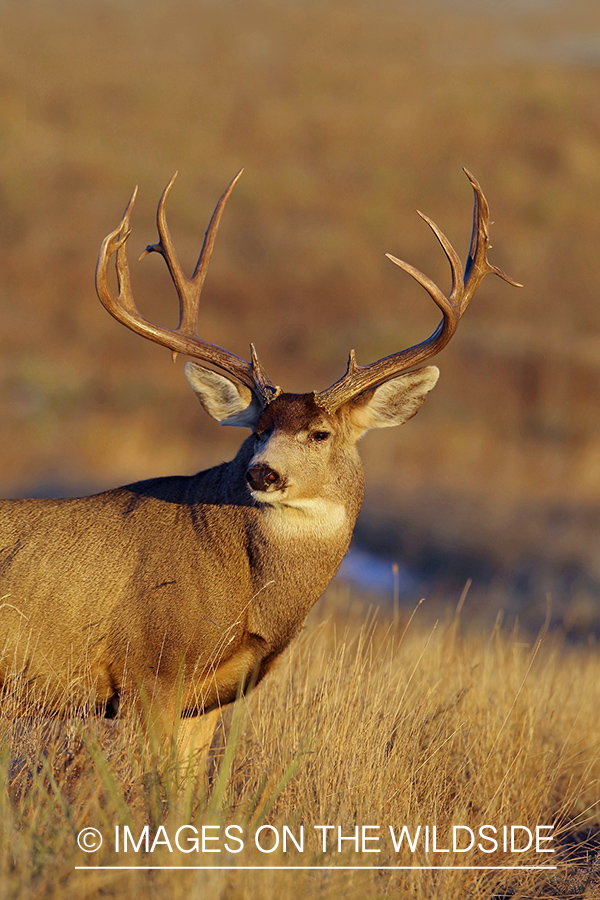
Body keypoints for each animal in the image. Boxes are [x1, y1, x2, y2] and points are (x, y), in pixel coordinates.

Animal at [0, 169, 519, 758]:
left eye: (319, 433)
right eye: (257, 432)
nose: (263, 472)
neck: (248, 590)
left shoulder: (206, 700)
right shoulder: (150, 671)